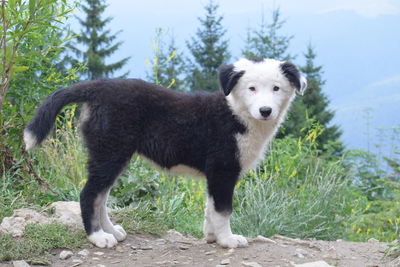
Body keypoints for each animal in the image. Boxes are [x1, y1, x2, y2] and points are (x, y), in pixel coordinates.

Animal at [24, 58, 306, 249]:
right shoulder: (223, 169)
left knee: (100, 197)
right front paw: (228, 240)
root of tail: (99, 87)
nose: (266, 111)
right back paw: (98, 238)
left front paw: (212, 236)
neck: (236, 113)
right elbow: (223, 209)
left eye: (276, 88)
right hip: (110, 151)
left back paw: (111, 231)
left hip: (112, 154)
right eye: (252, 89)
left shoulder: (215, 174)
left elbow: (211, 207)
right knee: (90, 194)